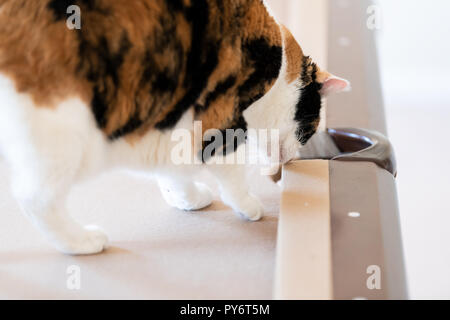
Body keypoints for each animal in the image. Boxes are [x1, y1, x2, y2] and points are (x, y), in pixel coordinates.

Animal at [0, 0, 350, 255]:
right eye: (310, 129)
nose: (293, 159)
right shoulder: (220, 122)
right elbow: (232, 175)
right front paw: (250, 207)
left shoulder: (168, 126)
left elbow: (174, 172)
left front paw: (188, 198)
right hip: (62, 134)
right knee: (35, 197)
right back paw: (81, 241)